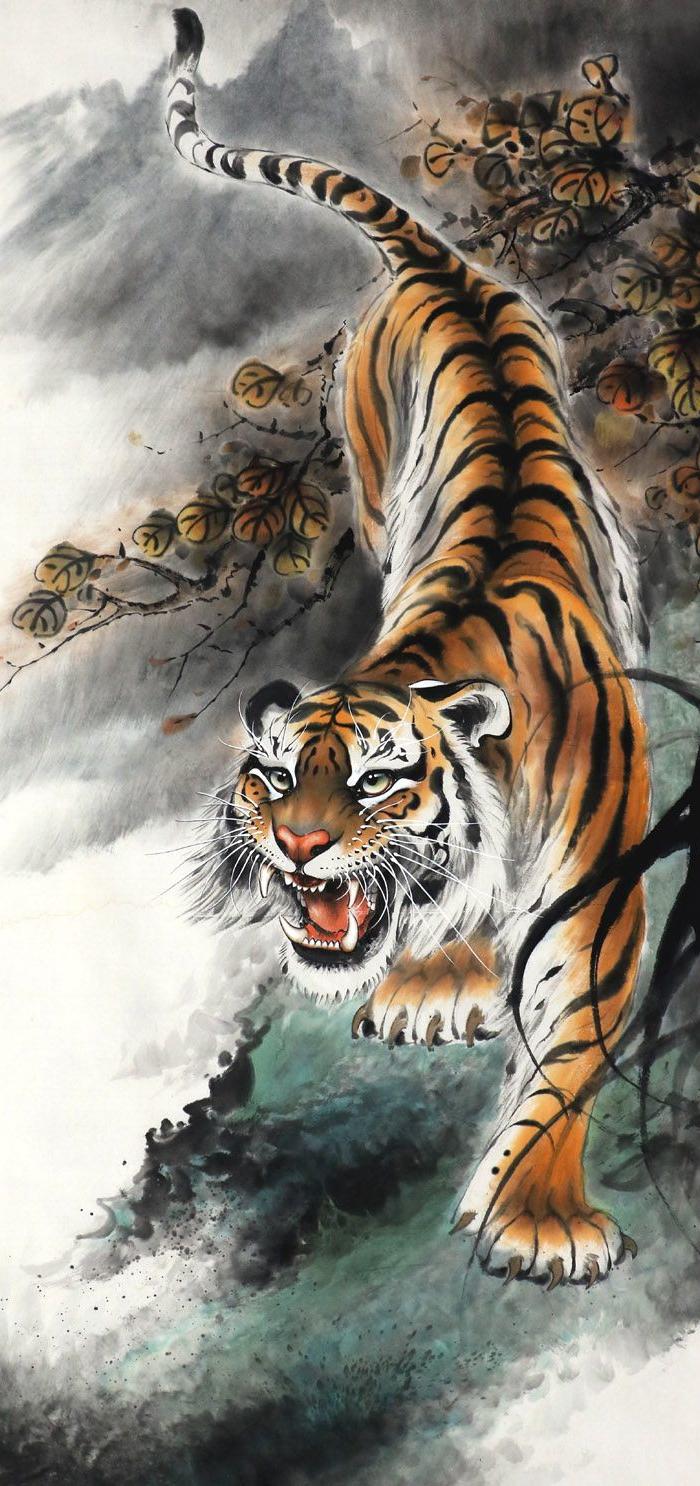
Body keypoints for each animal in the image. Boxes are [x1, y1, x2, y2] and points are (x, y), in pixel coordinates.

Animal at [167, 8, 650, 1287]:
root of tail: (443, 265)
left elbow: (570, 1049)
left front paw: (536, 1217)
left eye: (378, 784)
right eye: (272, 779)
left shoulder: (602, 898)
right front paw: (433, 982)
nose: (295, 846)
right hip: (377, 487)